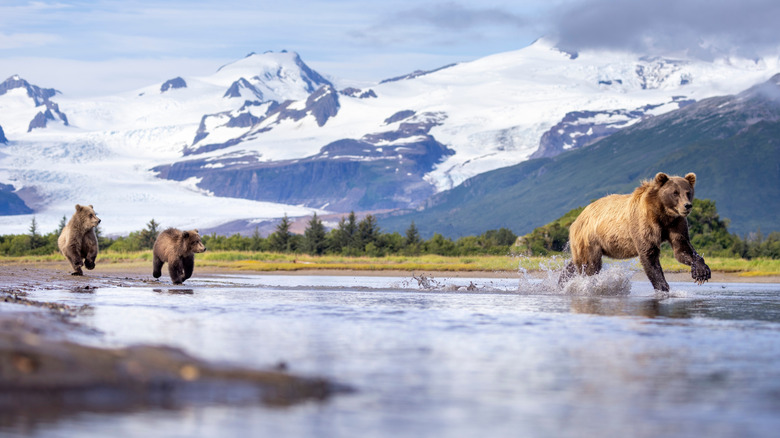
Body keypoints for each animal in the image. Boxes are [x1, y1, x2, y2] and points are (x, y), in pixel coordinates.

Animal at [561, 172, 711, 292]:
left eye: (688, 192)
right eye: (675, 192)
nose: (687, 206)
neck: (663, 213)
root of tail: (577, 218)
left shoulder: (676, 223)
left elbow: (682, 248)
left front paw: (702, 272)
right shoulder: (645, 222)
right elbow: (649, 255)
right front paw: (663, 286)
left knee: (577, 263)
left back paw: (562, 280)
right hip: (590, 238)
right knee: (590, 265)